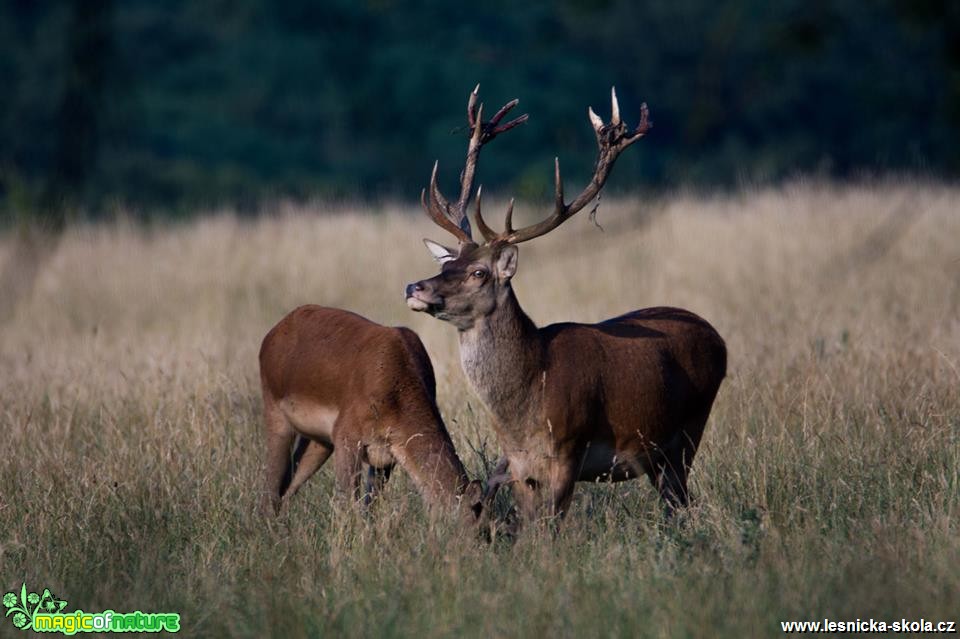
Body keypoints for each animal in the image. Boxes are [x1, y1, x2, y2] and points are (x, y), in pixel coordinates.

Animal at [258, 306, 484, 524]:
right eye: (475, 518)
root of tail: (275, 332)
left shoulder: (385, 458)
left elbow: (369, 505)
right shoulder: (347, 440)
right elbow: (347, 503)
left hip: (319, 443)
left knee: (287, 489)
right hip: (279, 422)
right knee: (271, 490)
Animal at [402, 87, 724, 528]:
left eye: (479, 273)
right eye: (446, 265)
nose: (414, 287)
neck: (528, 400)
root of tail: (718, 337)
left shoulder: (569, 449)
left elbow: (549, 529)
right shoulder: (518, 465)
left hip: (687, 433)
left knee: (682, 501)